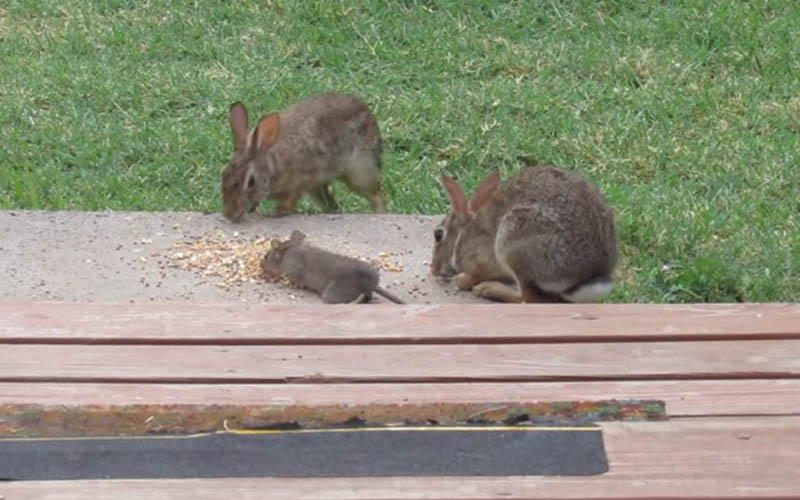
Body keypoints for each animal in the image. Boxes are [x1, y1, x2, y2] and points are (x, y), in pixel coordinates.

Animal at [221, 93, 387, 222]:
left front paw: (275, 212)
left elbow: (290, 200)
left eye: (251, 182)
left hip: (360, 170)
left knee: (378, 195)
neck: (272, 167)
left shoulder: (300, 181)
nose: (229, 215)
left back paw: (378, 213)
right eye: (223, 174)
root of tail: (369, 115)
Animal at [262, 230, 405, 304]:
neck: (290, 250)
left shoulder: (295, 273)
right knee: (368, 297)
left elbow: (296, 282)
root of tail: (372, 284)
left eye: (266, 256)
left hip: (332, 294)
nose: (261, 266)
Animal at [430, 164, 618, 303]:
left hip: (513, 242)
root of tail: (585, 279)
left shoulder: (481, 259)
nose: (433, 270)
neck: (462, 235)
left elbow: (476, 274)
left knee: (527, 298)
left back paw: (488, 289)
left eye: (438, 234)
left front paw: (460, 281)